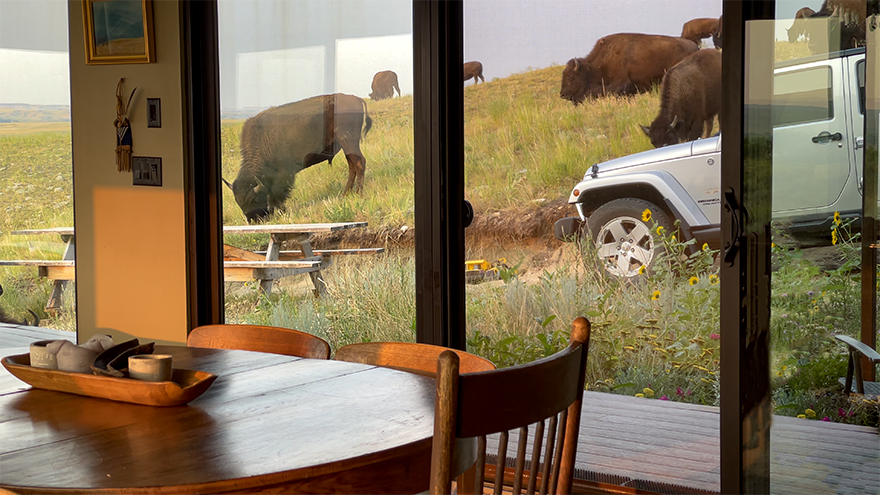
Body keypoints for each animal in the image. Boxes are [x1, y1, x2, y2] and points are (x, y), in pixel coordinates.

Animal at [223, 92, 372, 223]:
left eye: (254, 199)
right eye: (239, 203)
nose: (253, 220)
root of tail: (356, 99)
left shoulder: (283, 176)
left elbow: (277, 194)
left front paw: (281, 211)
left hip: (348, 141)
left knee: (360, 163)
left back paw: (358, 193)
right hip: (346, 146)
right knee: (352, 166)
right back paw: (345, 194)